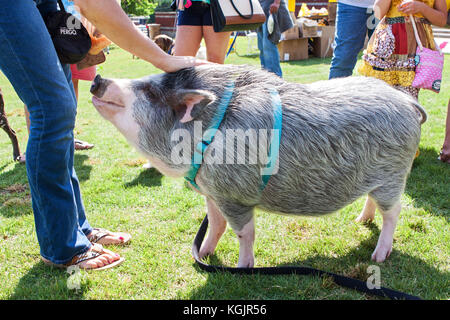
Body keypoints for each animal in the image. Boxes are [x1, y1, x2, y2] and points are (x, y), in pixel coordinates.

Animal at [90, 65, 426, 268]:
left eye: (150, 93)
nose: (97, 79)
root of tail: (407, 102)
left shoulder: (234, 195)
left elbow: (244, 233)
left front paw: (241, 268)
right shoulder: (211, 192)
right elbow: (216, 224)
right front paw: (203, 255)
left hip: (393, 175)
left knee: (394, 212)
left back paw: (378, 257)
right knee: (373, 203)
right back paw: (360, 221)